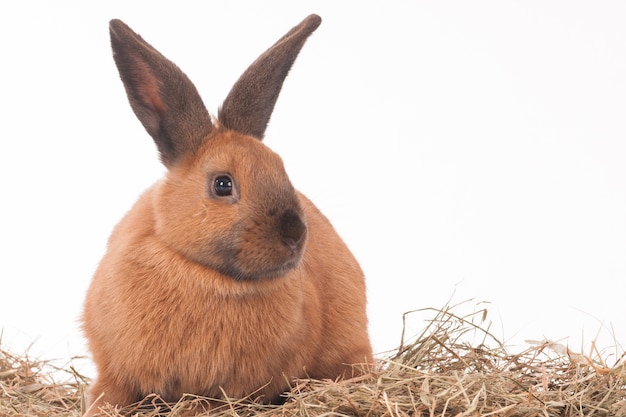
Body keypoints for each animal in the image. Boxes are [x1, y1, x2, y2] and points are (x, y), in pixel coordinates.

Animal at [81, 13, 370, 416]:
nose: (295, 235)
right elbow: (108, 395)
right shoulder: (116, 371)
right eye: (222, 184)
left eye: (281, 168)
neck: (204, 274)